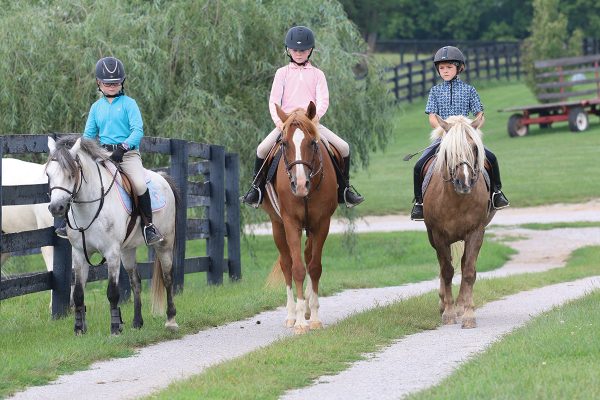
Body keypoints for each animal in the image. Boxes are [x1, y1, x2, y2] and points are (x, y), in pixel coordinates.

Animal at [46, 138, 178, 334]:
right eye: (48, 174)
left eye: (71, 174)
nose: (56, 208)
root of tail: (163, 178)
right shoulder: (79, 254)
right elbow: (78, 293)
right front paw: (79, 329)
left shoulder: (112, 253)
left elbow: (113, 292)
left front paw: (115, 328)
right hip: (128, 250)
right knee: (135, 281)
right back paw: (137, 322)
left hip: (164, 244)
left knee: (167, 278)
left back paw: (171, 321)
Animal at [264, 101, 340, 332]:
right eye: (284, 143)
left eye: (313, 143)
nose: (299, 185)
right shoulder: (291, 224)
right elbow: (297, 269)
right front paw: (299, 322)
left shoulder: (322, 224)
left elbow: (314, 267)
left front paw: (313, 317)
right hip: (277, 226)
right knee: (286, 264)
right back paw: (291, 315)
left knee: (308, 257)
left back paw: (306, 307)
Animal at [422, 112, 496, 328]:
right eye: (448, 151)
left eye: (474, 148)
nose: (463, 183)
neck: (456, 199)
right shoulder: (438, 235)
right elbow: (446, 271)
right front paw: (448, 312)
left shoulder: (476, 232)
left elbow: (469, 271)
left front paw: (468, 314)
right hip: (433, 237)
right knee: (443, 266)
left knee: (463, 265)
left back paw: (461, 305)